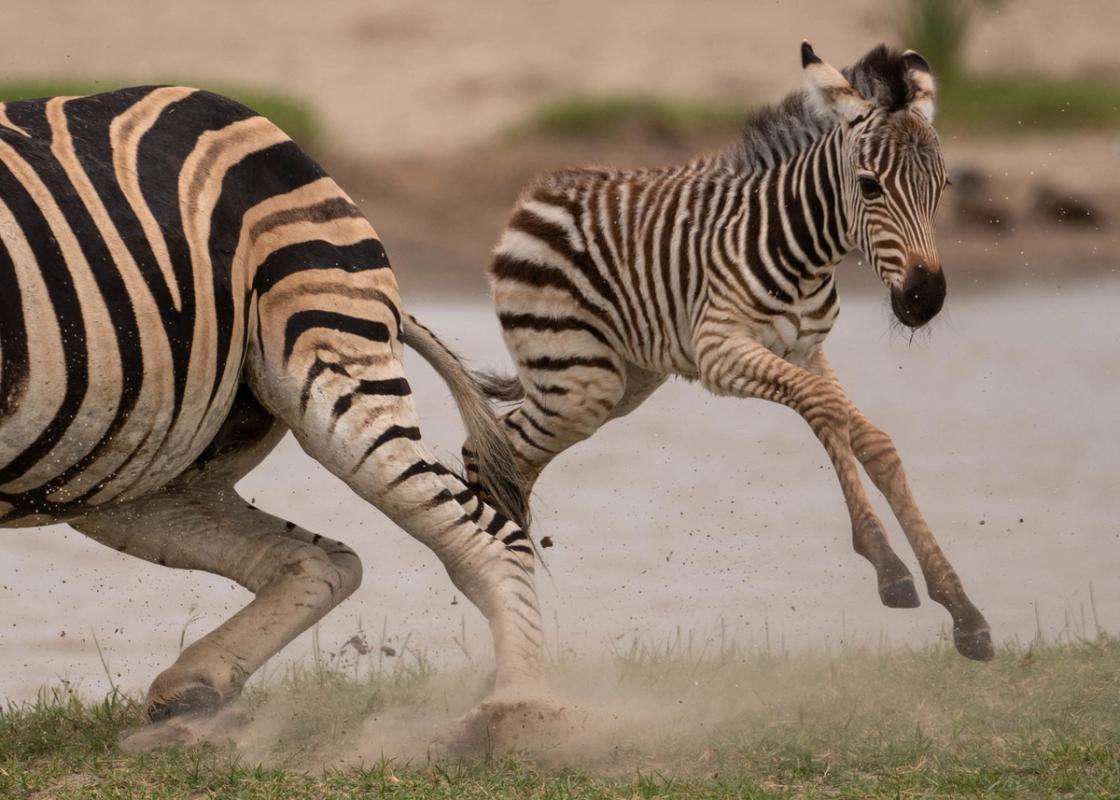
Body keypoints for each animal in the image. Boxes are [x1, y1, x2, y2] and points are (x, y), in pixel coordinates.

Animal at [0, 85, 546, 721]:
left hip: (328, 346)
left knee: (487, 541)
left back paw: (515, 712)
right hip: (123, 461)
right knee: (320, 561)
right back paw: (192, 691)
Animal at [470, 42, 990, 654]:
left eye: (945, 186)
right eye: (869, 186)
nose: (924, 299)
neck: (802, 253)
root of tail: (532, 198)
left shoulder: (805, 350)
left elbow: (868, 439)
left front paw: (960, 607)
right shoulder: (720, 352)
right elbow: (826, 409)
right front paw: (888, 567)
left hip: (618, 383)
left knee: (510, 457)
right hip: (579, 383)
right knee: (489, 450)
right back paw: (494, 575)